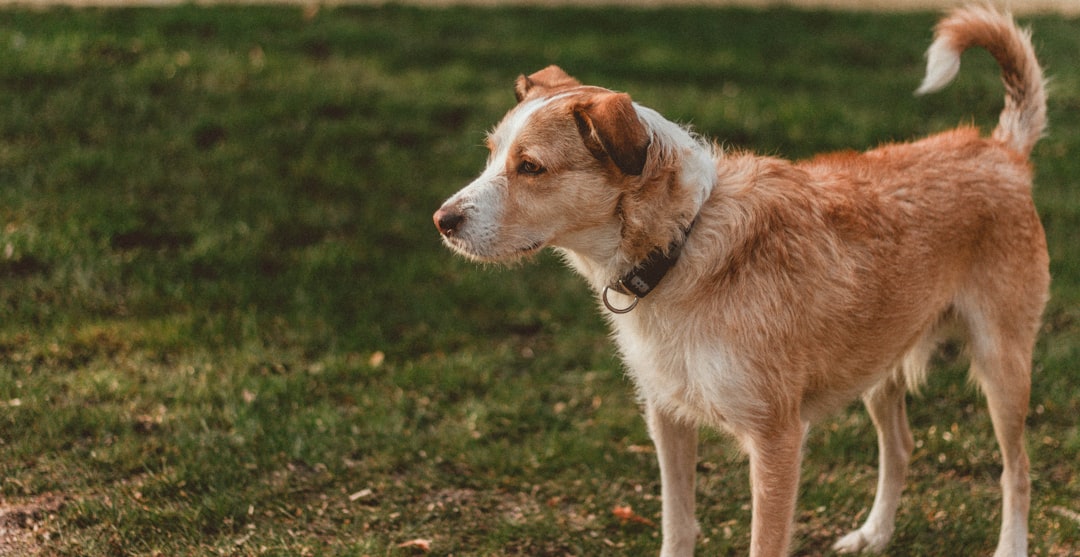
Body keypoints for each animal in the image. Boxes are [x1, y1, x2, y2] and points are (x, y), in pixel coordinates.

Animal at [434, 5, 1049, 557]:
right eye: (491, 154)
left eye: (531, 167)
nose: (442, 220)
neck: (682, 242)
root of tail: (1000, 149)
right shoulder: (666, 419)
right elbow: (677, 526)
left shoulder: (776, 440)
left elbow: (764, 542)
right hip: (880, 361)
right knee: (900, 445)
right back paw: (874, 535)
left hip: (1002, 364)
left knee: (1017, 470)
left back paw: (1010, 546)